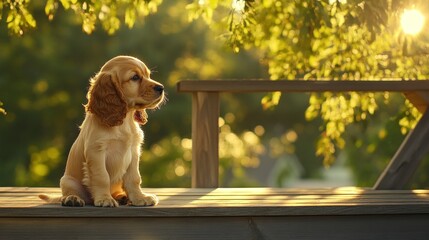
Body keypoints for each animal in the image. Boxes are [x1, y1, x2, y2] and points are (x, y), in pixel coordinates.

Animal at [39, 55, 164, 206]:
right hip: (67, 180)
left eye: (148, 75)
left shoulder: (134, 151)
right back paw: (73, 199)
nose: (161, 88)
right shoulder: (96, 151)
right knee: (72, 193)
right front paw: (105, 199)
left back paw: (122, 197)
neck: (124, 121)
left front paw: (139, 198)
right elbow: (102, 177)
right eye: (135, 77)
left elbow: (134, 178)